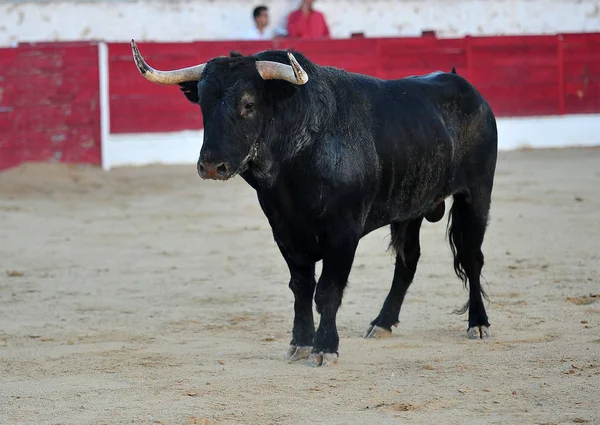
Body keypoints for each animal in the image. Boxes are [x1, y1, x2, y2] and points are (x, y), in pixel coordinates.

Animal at [134, 39, 500, 364]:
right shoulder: (284, 230)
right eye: (203, 104)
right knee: (408, 260)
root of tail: (468, 90)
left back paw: (478, 324)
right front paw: (299, 343)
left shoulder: (344, 232)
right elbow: (301, 287)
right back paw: (381, 323)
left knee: (472, 257)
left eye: (248, 104)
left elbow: (328, 290)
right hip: (411, 206)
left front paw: (325, 348)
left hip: (476, 194)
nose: (212, 165)